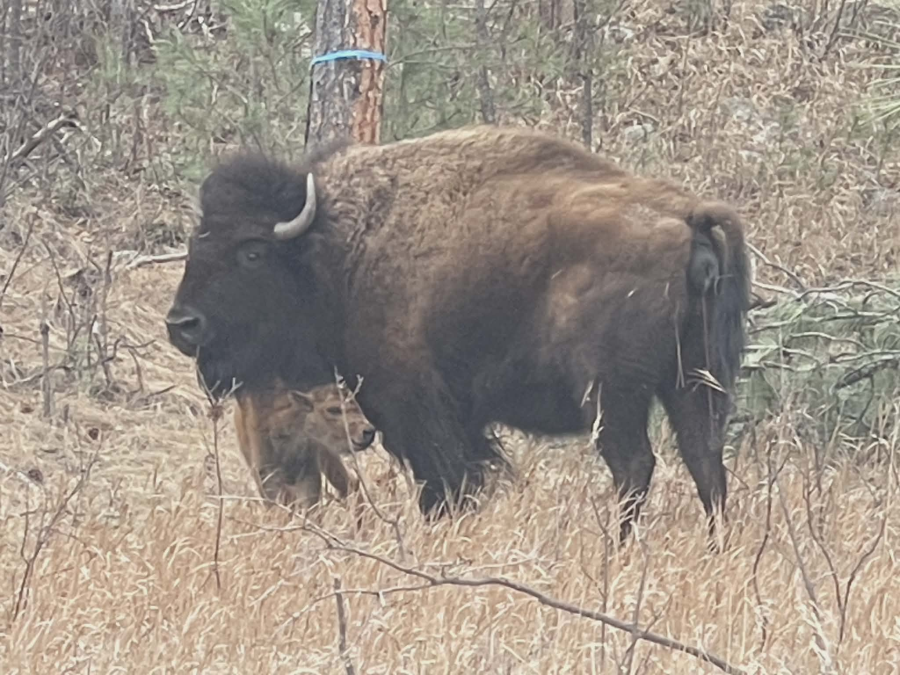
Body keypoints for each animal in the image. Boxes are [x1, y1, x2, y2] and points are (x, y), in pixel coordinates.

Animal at [165, 125, 750, 542]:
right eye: (198, 241)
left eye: (251, 250)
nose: (182, 325)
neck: (337, 245)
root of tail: (687, 218)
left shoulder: (414, 408)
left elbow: (442, 484)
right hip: (695, 382)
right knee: (704, 459)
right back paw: (715, 545)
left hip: (613, 395)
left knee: (634, 466)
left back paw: (620, 549)